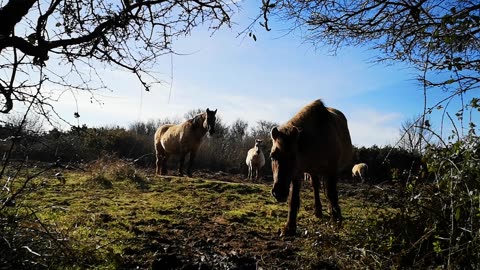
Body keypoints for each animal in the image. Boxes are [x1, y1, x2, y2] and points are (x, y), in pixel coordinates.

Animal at [270, 99, 352, 236]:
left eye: (293, 156)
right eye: (272, 156)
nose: (278, 193)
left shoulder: (331, 170)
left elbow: (331, 193)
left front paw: (336, 218)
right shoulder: (297, 173)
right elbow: (293, 199)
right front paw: (290, 227)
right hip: (313, 172)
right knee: (315, 187)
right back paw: (318, 211)